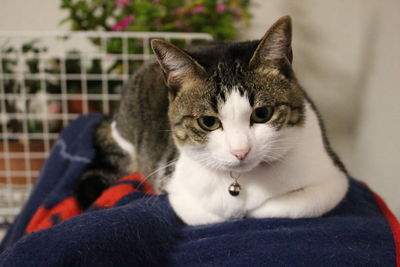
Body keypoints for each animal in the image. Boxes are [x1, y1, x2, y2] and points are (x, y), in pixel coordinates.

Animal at [74, 16, 346, 226]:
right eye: (208, 121)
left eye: (262, 114)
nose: (240, 152)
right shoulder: (176, 187)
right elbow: (212, 214)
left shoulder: (335, 180)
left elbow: (285, 207)